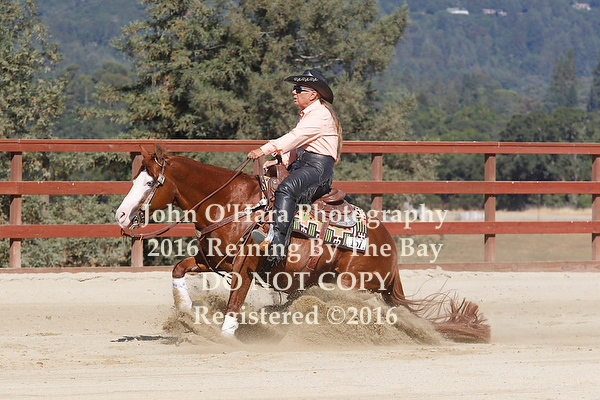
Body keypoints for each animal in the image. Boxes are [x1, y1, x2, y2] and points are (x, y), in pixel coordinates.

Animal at [115, 144, 490, 343]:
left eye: (149, 182)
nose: (120, 215)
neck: (232, 204)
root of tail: (391, 248)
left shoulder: (244, 267)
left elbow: (235, 302)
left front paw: (224, 337)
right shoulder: (212, 261)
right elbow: (178, 269)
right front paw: (185, 312)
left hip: (352, 285)